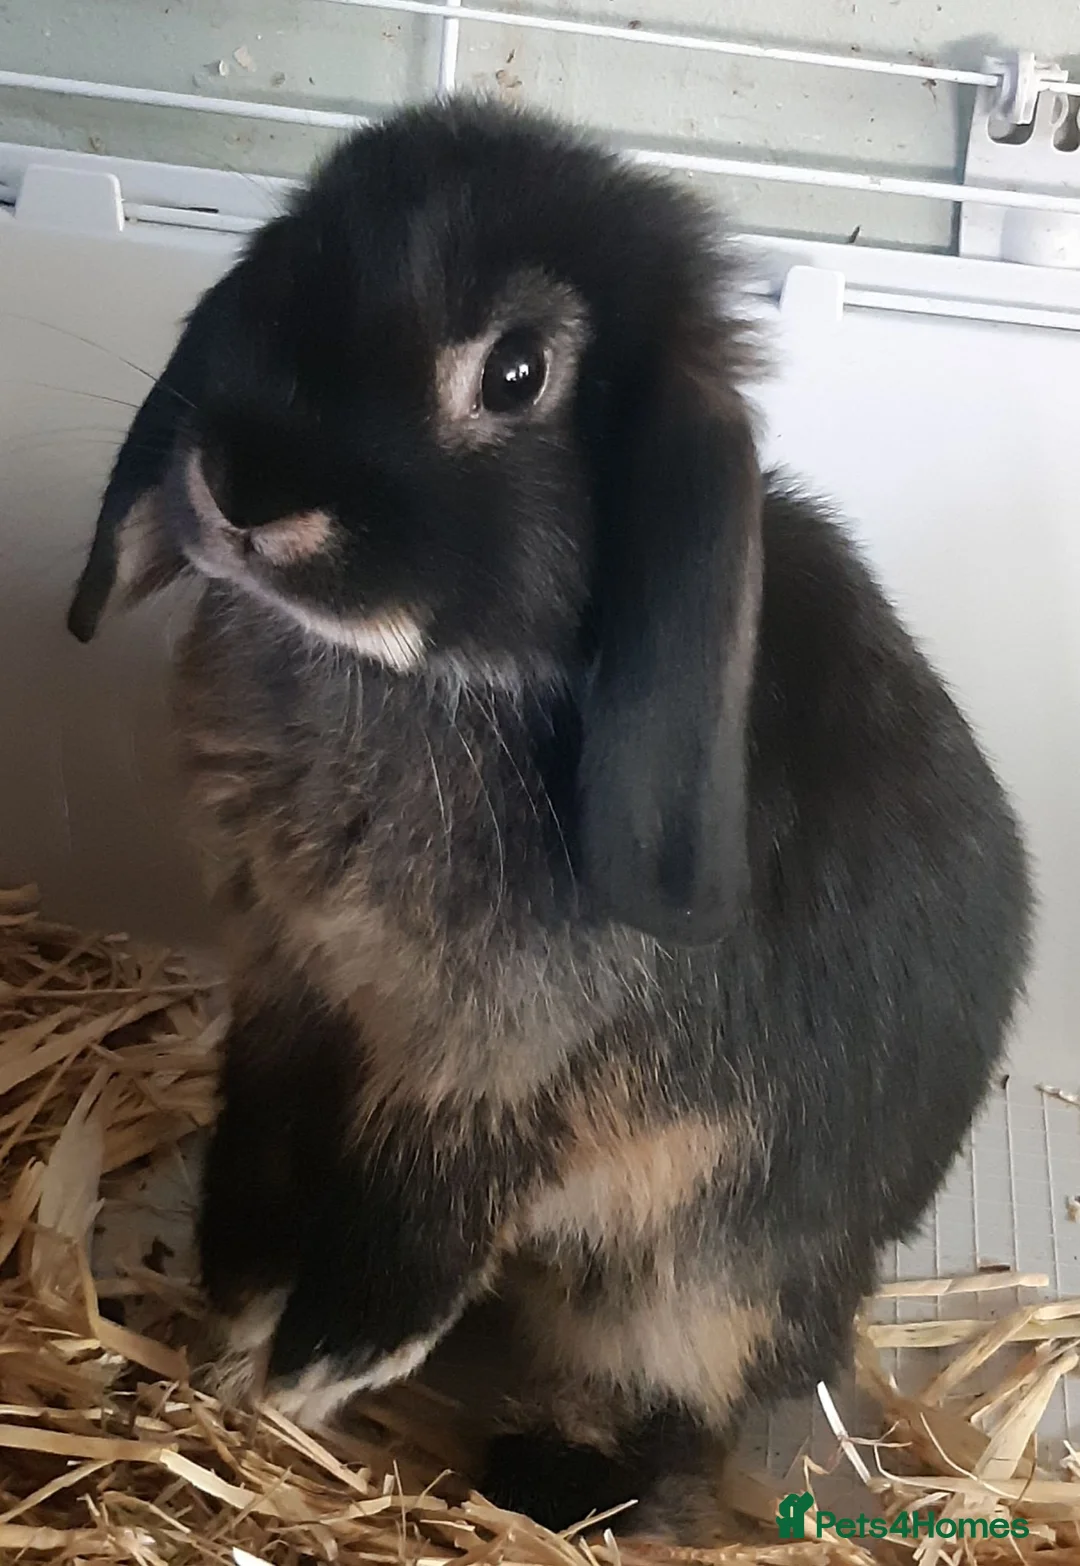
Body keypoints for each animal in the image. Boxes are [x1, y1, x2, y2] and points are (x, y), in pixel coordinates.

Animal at [68, 98, 1032, 1534]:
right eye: (293, 271)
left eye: (518, 373)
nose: (245, 488)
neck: (428, 685)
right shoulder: (289, 993)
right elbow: (260, 1177)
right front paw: (219, 1338)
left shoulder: (495, 1081)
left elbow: (399, 1248)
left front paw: (288, 1385)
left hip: (690, 1289)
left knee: (675, 1415)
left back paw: (553, 1483)